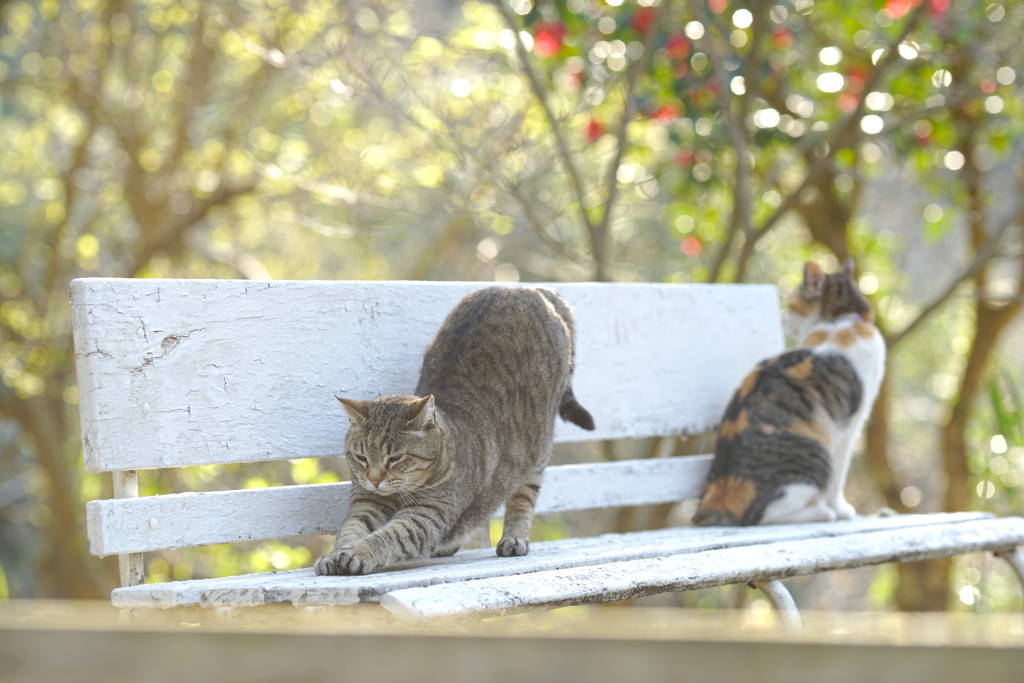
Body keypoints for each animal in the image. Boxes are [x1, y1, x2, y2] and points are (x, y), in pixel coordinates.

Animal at [315, 286, 598, 573]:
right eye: (361, 457)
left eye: (394, 458)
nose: (374, 480)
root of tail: (526, 288)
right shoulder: (367, 503)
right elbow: (350, 529)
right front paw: (334, 555)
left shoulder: (426, 515)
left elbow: (389, 536)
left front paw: (358, 552)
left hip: (536, 452)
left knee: (523, 498)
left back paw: (514, 539)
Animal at [692, 259, 884, 528]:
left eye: (791, 306)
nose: (783, 320)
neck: (840, 321)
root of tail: (713, 502)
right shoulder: (849, 427)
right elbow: (839, 479)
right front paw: (842, 509)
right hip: (818, 457)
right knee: (763, 516)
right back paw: (823, 512)